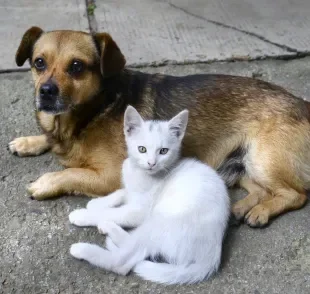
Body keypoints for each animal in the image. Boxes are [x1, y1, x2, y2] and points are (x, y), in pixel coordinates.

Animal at [8, 26, 308, 226]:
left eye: (76, 67)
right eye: (39, 63)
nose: (46, 92)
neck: (93, 111)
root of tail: (302, 103)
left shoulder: (111, 176)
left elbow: (71, 173)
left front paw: (45, 182)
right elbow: (50, 140)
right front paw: (28, 141)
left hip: (262, 159)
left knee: (296, 194)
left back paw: (261, 212)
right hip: (241, 163)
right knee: (262, 190)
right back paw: (240, 208)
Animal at [70, 106, 230, 284]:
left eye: (163, 151)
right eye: (142, 149)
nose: (151, 163)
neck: (140, 173)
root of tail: (210, 257)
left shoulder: (140, 211)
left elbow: (116, 212)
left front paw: (84, 215)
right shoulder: (131, 188)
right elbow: (122, 192)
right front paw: (97, 203)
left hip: (162, 218)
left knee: (123, 262)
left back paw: (84, 248)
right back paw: (109, 229)